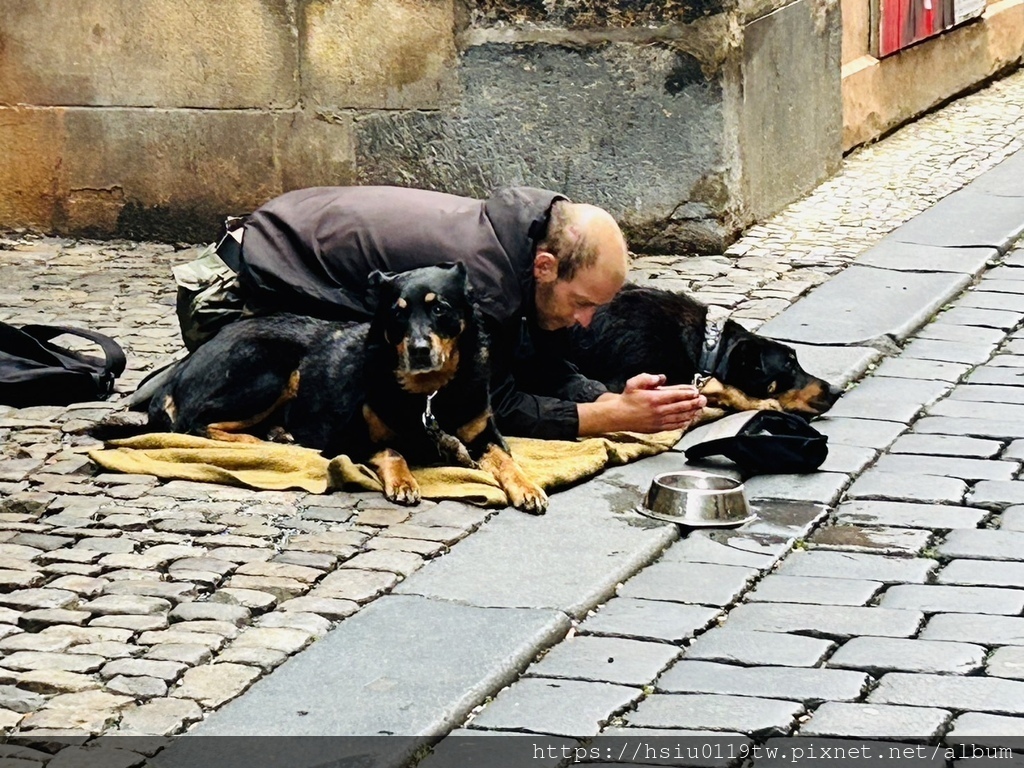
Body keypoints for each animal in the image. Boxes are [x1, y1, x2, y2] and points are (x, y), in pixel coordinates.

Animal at [148, 266, 548, 518]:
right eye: (398, 313)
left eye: (440, 308)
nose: (419, 350)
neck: (429, 393)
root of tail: (184, 365)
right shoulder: (349, 438)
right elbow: (392, 451)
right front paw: (404, 481)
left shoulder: (486, 433)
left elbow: (507, 461)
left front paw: (527, 488)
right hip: (270, 369)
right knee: (197, 422)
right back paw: (264, 443)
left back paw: (278, 434)